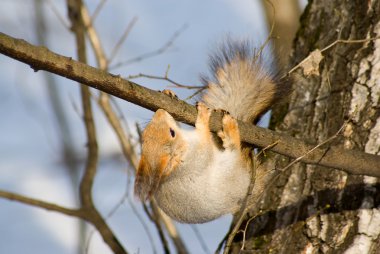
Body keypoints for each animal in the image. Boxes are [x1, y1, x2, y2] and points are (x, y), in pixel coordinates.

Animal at [134, 39, 288, 222]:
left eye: (144, 135)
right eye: (172, 133)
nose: (159, 112)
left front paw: (168, 92)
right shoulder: (197, 155)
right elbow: (205, 141)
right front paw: (202, 117)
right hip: (229, 170)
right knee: (233, 147)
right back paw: (229, 129)